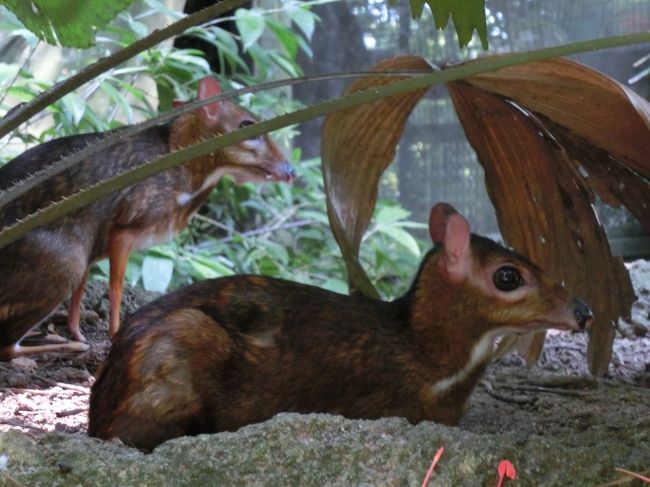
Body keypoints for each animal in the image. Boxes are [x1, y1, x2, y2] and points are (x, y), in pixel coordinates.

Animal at [0, 75, 294, 358]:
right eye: (248, 125)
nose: (290, 171)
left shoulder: (94, 242)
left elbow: (82, 288)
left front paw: (78, 331)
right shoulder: (125, 227)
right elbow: (115, 286)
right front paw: (113, 334)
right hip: (66, 262)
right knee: (8, 349)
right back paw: (64, 346)